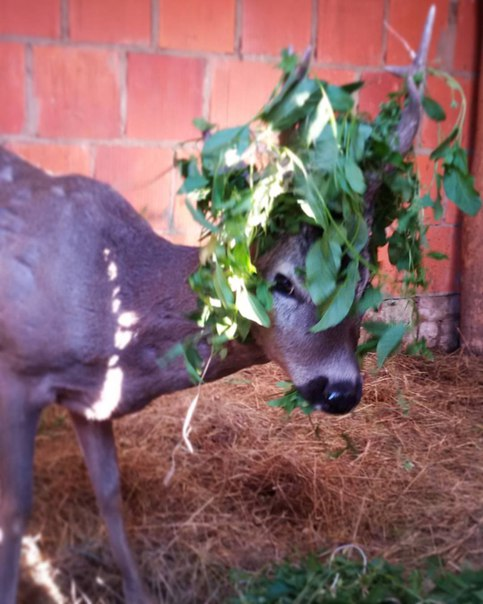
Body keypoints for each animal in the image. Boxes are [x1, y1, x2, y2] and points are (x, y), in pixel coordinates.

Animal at [0, 7, 434, 600]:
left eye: (366, 280)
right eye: (282, 282)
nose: (341, 389)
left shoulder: (89, 401)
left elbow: (109, 492)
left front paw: (136, 590)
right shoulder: (17, 374)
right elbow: (17, 511)